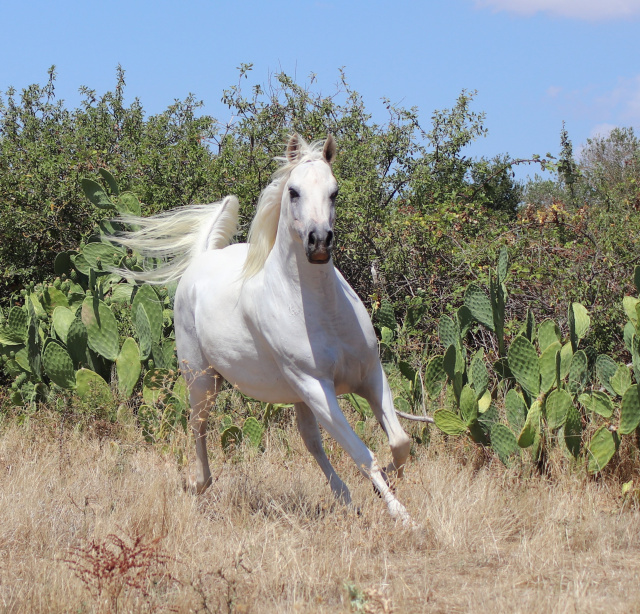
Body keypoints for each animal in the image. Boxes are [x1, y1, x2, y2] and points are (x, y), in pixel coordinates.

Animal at [116, 135, 410, 524]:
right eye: (294, 191)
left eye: (335, 192)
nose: (319, 241)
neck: (322, 311)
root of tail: (202, 258)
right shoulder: (317, 387)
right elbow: (363, 454)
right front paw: (403, 516)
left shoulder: (370, 375)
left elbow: (400, 442)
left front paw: (390, 481)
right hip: (202, 379)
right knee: (198, 426)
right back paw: (198, 484)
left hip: (296, 396)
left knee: (311, 443)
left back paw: (345, 498)